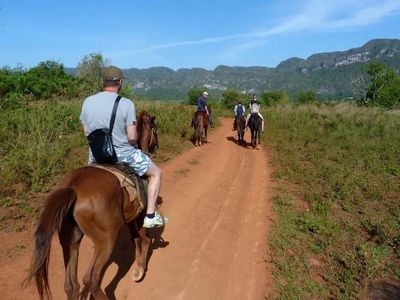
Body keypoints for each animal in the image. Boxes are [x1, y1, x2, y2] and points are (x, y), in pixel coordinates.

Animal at [23, 111, 159, 298]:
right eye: (155, 129)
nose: (156, 146)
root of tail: (73, 188)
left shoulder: (132, 216)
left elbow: (136, 239)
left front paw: (138, 267)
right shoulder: (141, 213)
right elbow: (144, 239)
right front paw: (140, 269)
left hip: (69, 240)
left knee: (71, 285)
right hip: (106, 240)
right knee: (91, 279)